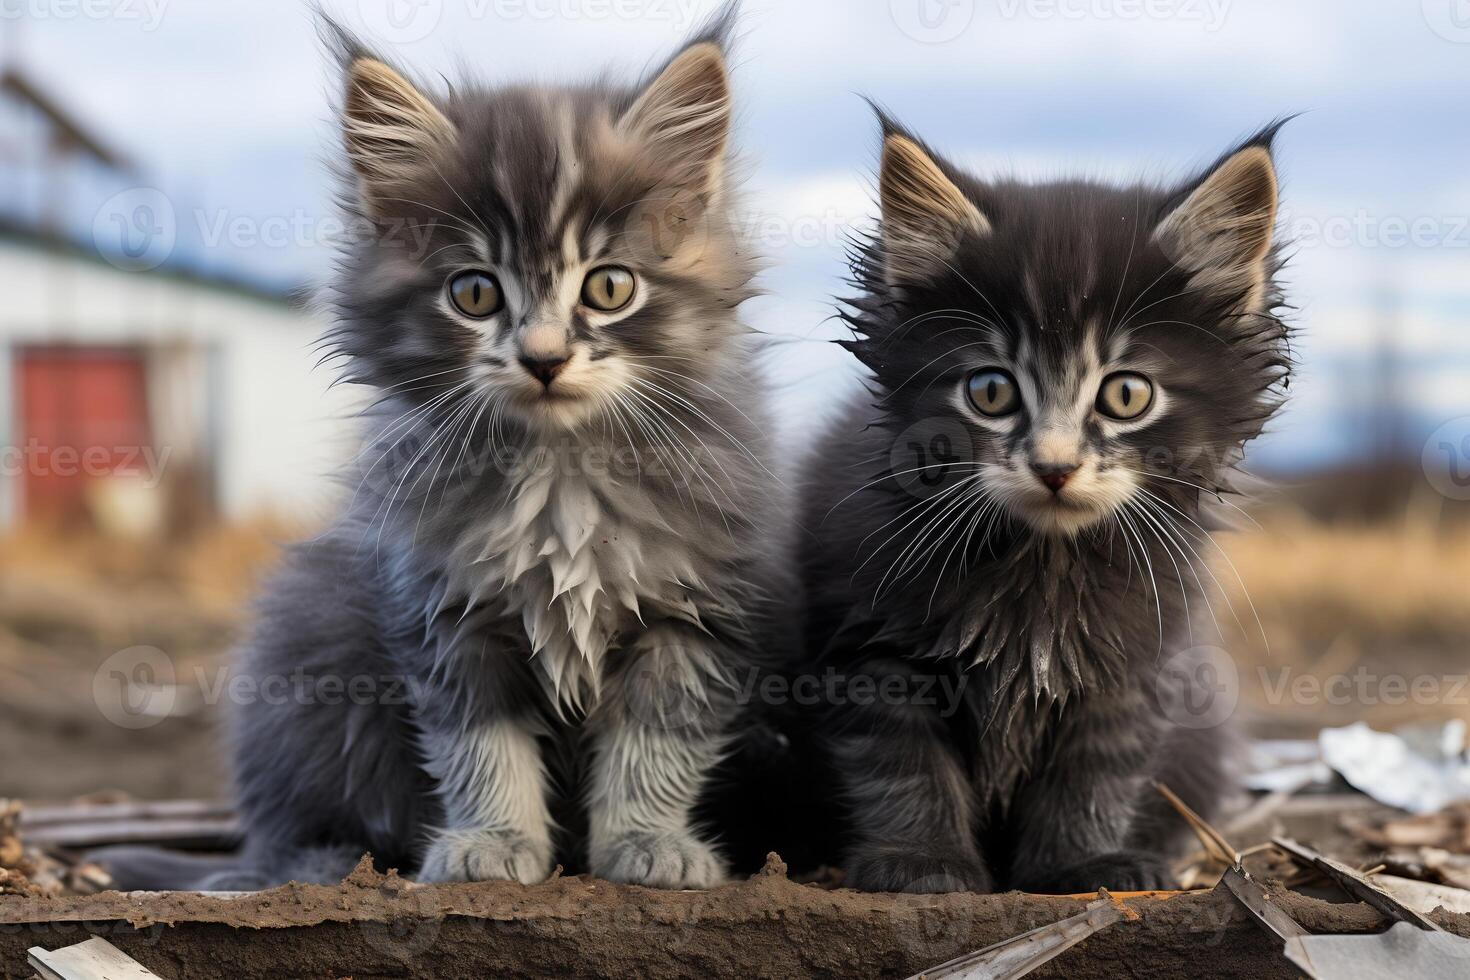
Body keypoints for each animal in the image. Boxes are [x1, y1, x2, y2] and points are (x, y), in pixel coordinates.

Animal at [103, 13, 793, 887]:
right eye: (474, 293)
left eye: (609, 287)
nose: (543, 358)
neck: (560, 474)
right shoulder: (442, 608)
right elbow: (480, 746)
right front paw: (491, 843)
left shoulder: (696, 609)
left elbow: (657, 743)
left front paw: (649, 844)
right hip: (306, 649)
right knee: (286, 823)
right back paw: (322, 861)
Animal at [799, 115, 1293, 899]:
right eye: (990, 391)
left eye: (1126, 394)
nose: (1055, 466)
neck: (1042, 563)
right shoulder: (866, 644)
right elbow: (901, 761)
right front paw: (923, 862)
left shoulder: (1134, 659)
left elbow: (1094, 769)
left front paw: (1077, 866)